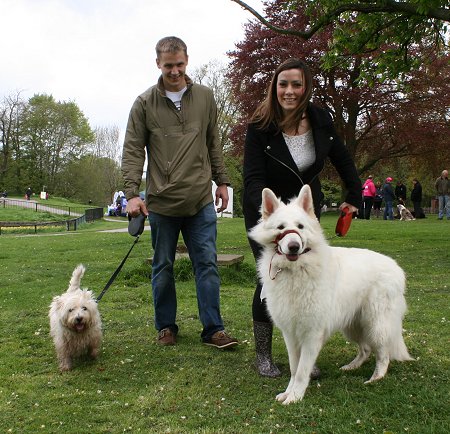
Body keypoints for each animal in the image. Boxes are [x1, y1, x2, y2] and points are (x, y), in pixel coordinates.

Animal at [251, 186, 414, 404]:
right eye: (280, 227)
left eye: (300, 227)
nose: (294, 246)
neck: (297, 271)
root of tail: (396, 267)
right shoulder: (290, 334)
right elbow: (294, 368)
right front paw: (288, 392)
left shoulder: (312, 335)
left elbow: (302, 371)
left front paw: (295, 397)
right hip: (353, 326)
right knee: (365, 349)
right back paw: (351, 367)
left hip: (376, 325)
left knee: (383, 354)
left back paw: (375, 378)